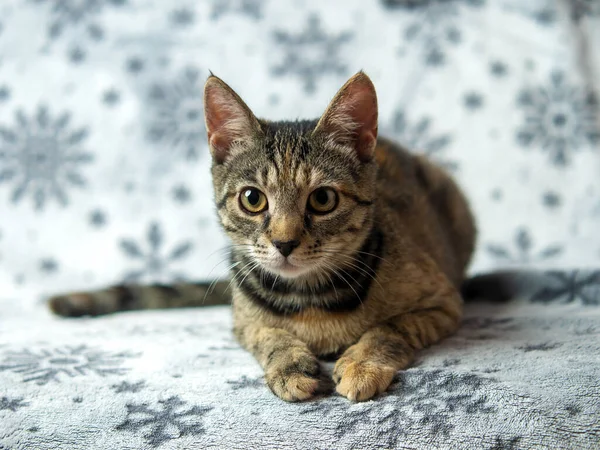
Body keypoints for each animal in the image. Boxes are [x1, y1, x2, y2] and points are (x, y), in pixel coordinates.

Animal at [49, 72, 476, 402]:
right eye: (252, 199)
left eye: (323, 199)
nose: (284, 243)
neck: (309, 298)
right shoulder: (242, 321)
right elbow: (268, 334)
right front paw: (289, 365)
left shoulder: (443, 303)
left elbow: (389, 328)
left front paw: (363, 363)